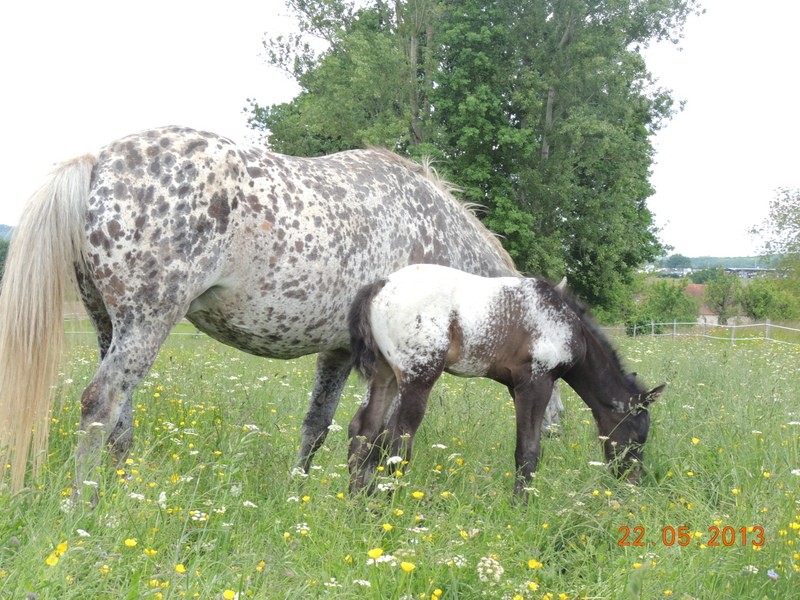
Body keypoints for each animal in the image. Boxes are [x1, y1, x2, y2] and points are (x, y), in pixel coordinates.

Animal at [0, 124, 564, 494]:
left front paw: (298, 495)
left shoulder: (339, 353)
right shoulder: (394, 366)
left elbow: (318, 426)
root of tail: (99, 160)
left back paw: (119, 495)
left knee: (120, 418)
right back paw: (83, 507)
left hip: (109, 325)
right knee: (100, 404)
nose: (557, 428)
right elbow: (378, 435)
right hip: (147, 322)